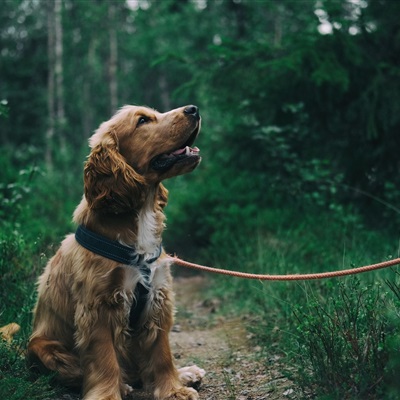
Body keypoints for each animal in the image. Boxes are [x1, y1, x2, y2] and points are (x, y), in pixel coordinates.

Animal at [27, 104, 206, 398]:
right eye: (142, 120)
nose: (193, 108)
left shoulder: (158, 297)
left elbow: (162, 353)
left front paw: (173, 389)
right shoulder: (98, 307)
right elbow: (104, 360)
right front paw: (108, 394)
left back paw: (186, 373)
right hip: (43, 348)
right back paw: (123, 383)